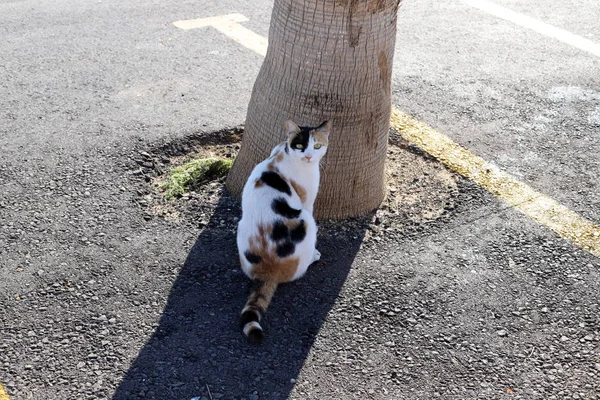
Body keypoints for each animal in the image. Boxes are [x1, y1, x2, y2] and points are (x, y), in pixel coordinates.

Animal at [236, 119, 330, 344]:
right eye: (300, 146)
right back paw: (313, 256)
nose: (308, 156)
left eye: (317, 146)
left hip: (240, 226)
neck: (285, 153)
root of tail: (269, 270)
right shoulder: (307, 202)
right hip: (307, 221)